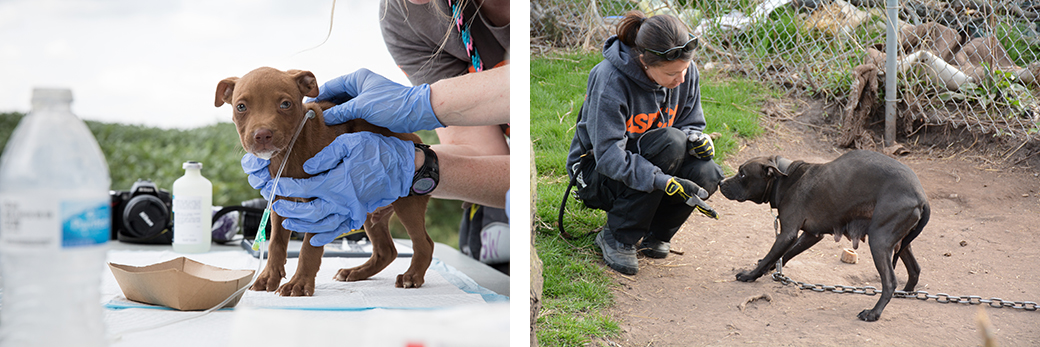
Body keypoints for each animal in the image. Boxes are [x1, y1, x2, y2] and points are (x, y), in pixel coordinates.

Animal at [215, 67, 434, 295]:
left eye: (285, 104)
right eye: (241, 107)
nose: (262, 135)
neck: (291, 152)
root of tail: (414, 137)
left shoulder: (321, 205)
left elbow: (309, 247)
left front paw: (299, 284)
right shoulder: (279, 202)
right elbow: (276, 243)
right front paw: (268, 277)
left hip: (408, 203)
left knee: (424, 243)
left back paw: (412, 276)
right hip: (368, 210)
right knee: (386, 250)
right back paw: (355, 272)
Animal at [719, 150, 931, 322]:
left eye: (742, 173)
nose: (721, 182)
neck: (786, 178)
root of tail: (921, 196)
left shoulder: (787, 234)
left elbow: (771, 254)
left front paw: (750, 274)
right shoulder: (811, 235)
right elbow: (784, 255)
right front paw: (771, 268)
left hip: (879, 242)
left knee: (890, 282)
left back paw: (873, 313)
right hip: (899, 243)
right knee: (915, 269)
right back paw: (906, 293)